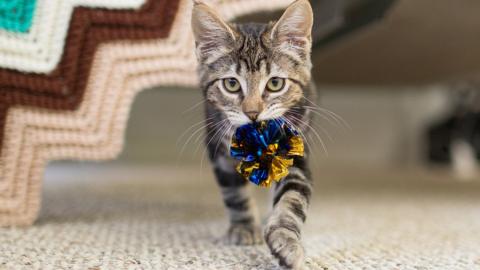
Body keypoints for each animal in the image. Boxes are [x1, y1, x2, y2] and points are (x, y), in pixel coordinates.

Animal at [191, 1, 316, 268]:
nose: (252, 113)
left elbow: (292, 199)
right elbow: (234, 194)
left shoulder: (295, 152)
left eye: (275, 83)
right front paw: (244, 228)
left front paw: (287, 242)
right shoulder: (219, 151)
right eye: (231, 84)